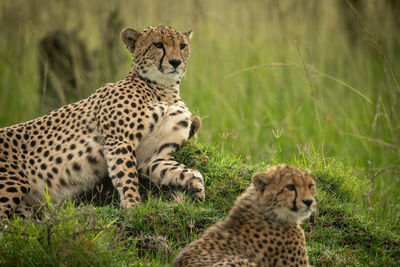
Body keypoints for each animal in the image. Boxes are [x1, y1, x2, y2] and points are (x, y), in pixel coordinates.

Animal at [0, 25, 205, 219]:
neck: (164, 89)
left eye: (182, 46)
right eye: (158, 44)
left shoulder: (152, 155)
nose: (176, 62)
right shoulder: (119, 141)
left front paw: (195, 183)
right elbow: (127, 176)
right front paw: (133, 205)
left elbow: (180, 169)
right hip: (16, 181)